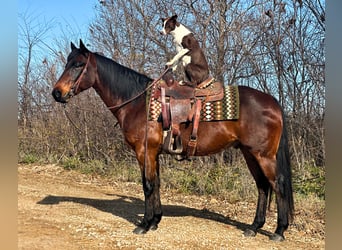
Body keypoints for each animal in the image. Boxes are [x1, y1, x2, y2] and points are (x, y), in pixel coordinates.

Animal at [52, 40, 292, 241]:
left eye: (78, 64)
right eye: (67, 63)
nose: (56, 93)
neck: (137, 102)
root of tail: (273, 103)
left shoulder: (144, 152)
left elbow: (148, 185)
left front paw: (144, 224)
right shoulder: (153, 154)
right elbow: (156, 183)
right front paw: (155, 221)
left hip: (263, 155)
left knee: (277, 185)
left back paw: (279, 231)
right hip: (249, 153)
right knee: (262, 187)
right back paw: (254, 227)